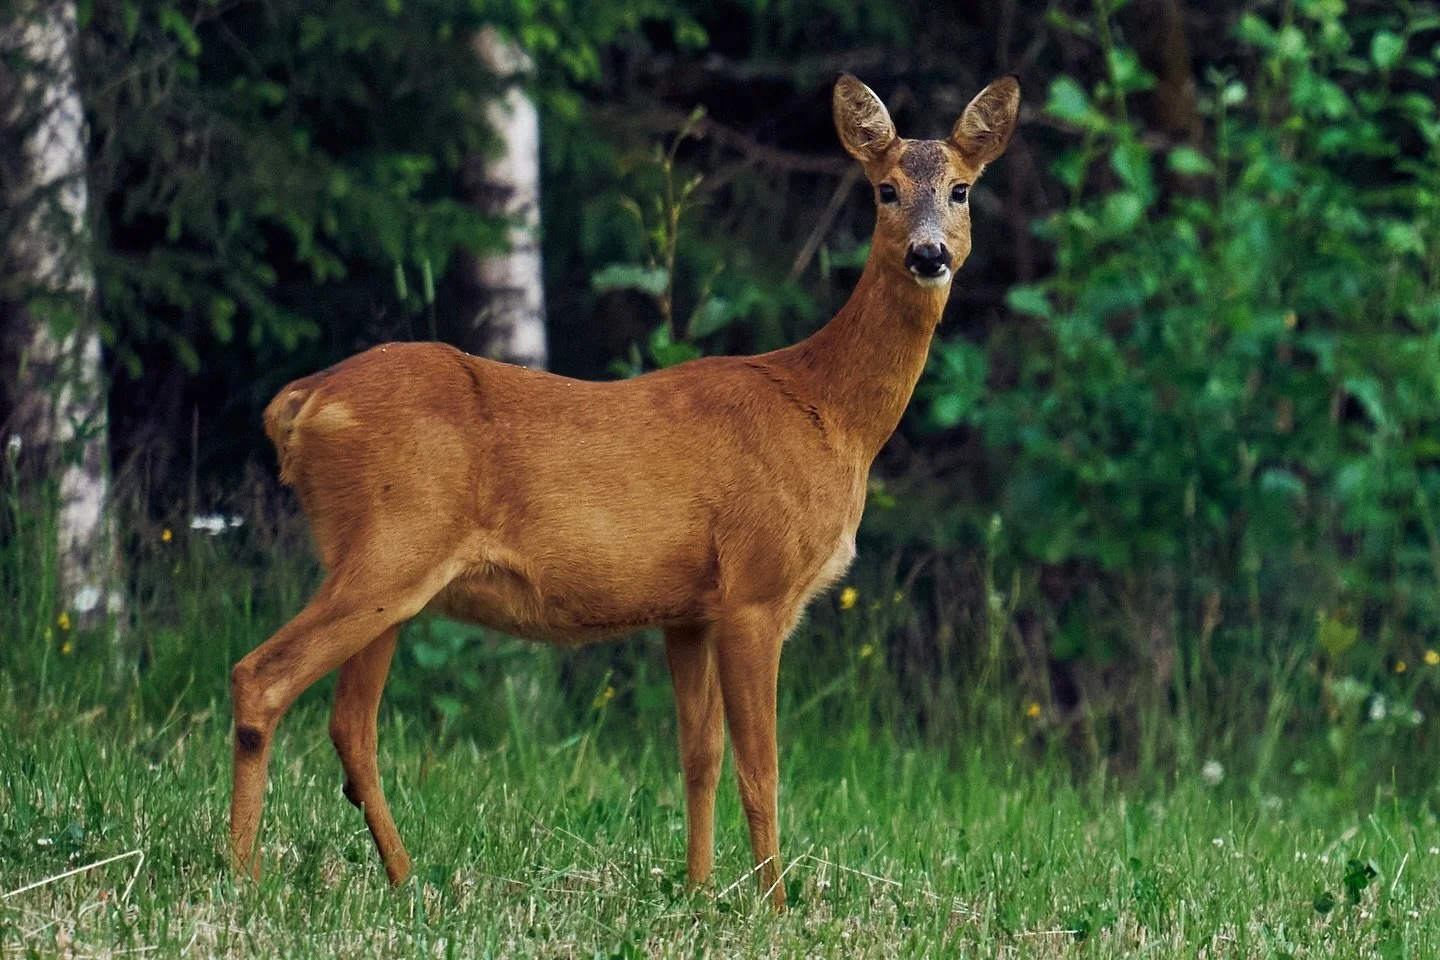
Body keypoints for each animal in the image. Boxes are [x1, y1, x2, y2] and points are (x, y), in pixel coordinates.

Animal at [228, 72, 1019, 910]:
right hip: (392, 540)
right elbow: (761, 770)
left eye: (962, 189)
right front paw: (774, 908)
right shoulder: (756, 587)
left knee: (351, 724)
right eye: (885, 190)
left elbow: (700, 758)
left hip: (386, 564)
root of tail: (301, 403)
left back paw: (407, 879)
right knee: (263, 678)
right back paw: (242, 874)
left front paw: (699, 891)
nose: (929, 254)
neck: (830, 412)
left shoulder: (690, 611)